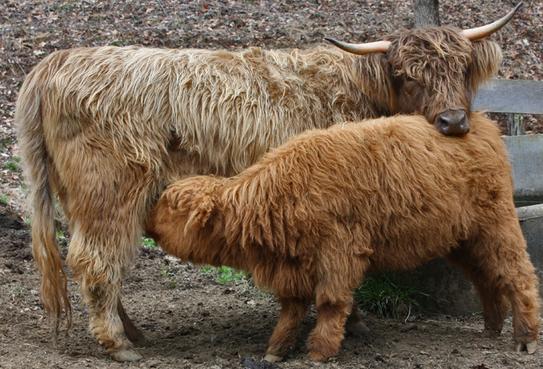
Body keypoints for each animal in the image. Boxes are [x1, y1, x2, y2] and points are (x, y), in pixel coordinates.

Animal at [148, 112, 540, 360]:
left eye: (168, 207)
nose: (148, 224)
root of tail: (481, 123)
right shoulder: (295, 265)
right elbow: (291, 308)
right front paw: (276, 348)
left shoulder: (339, 252)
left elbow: (331, 302)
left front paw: (319, 351)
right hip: (462, 239)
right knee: (486, 279)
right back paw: (492, 328)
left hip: (498, 225)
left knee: (518, 275)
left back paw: (525, 339)